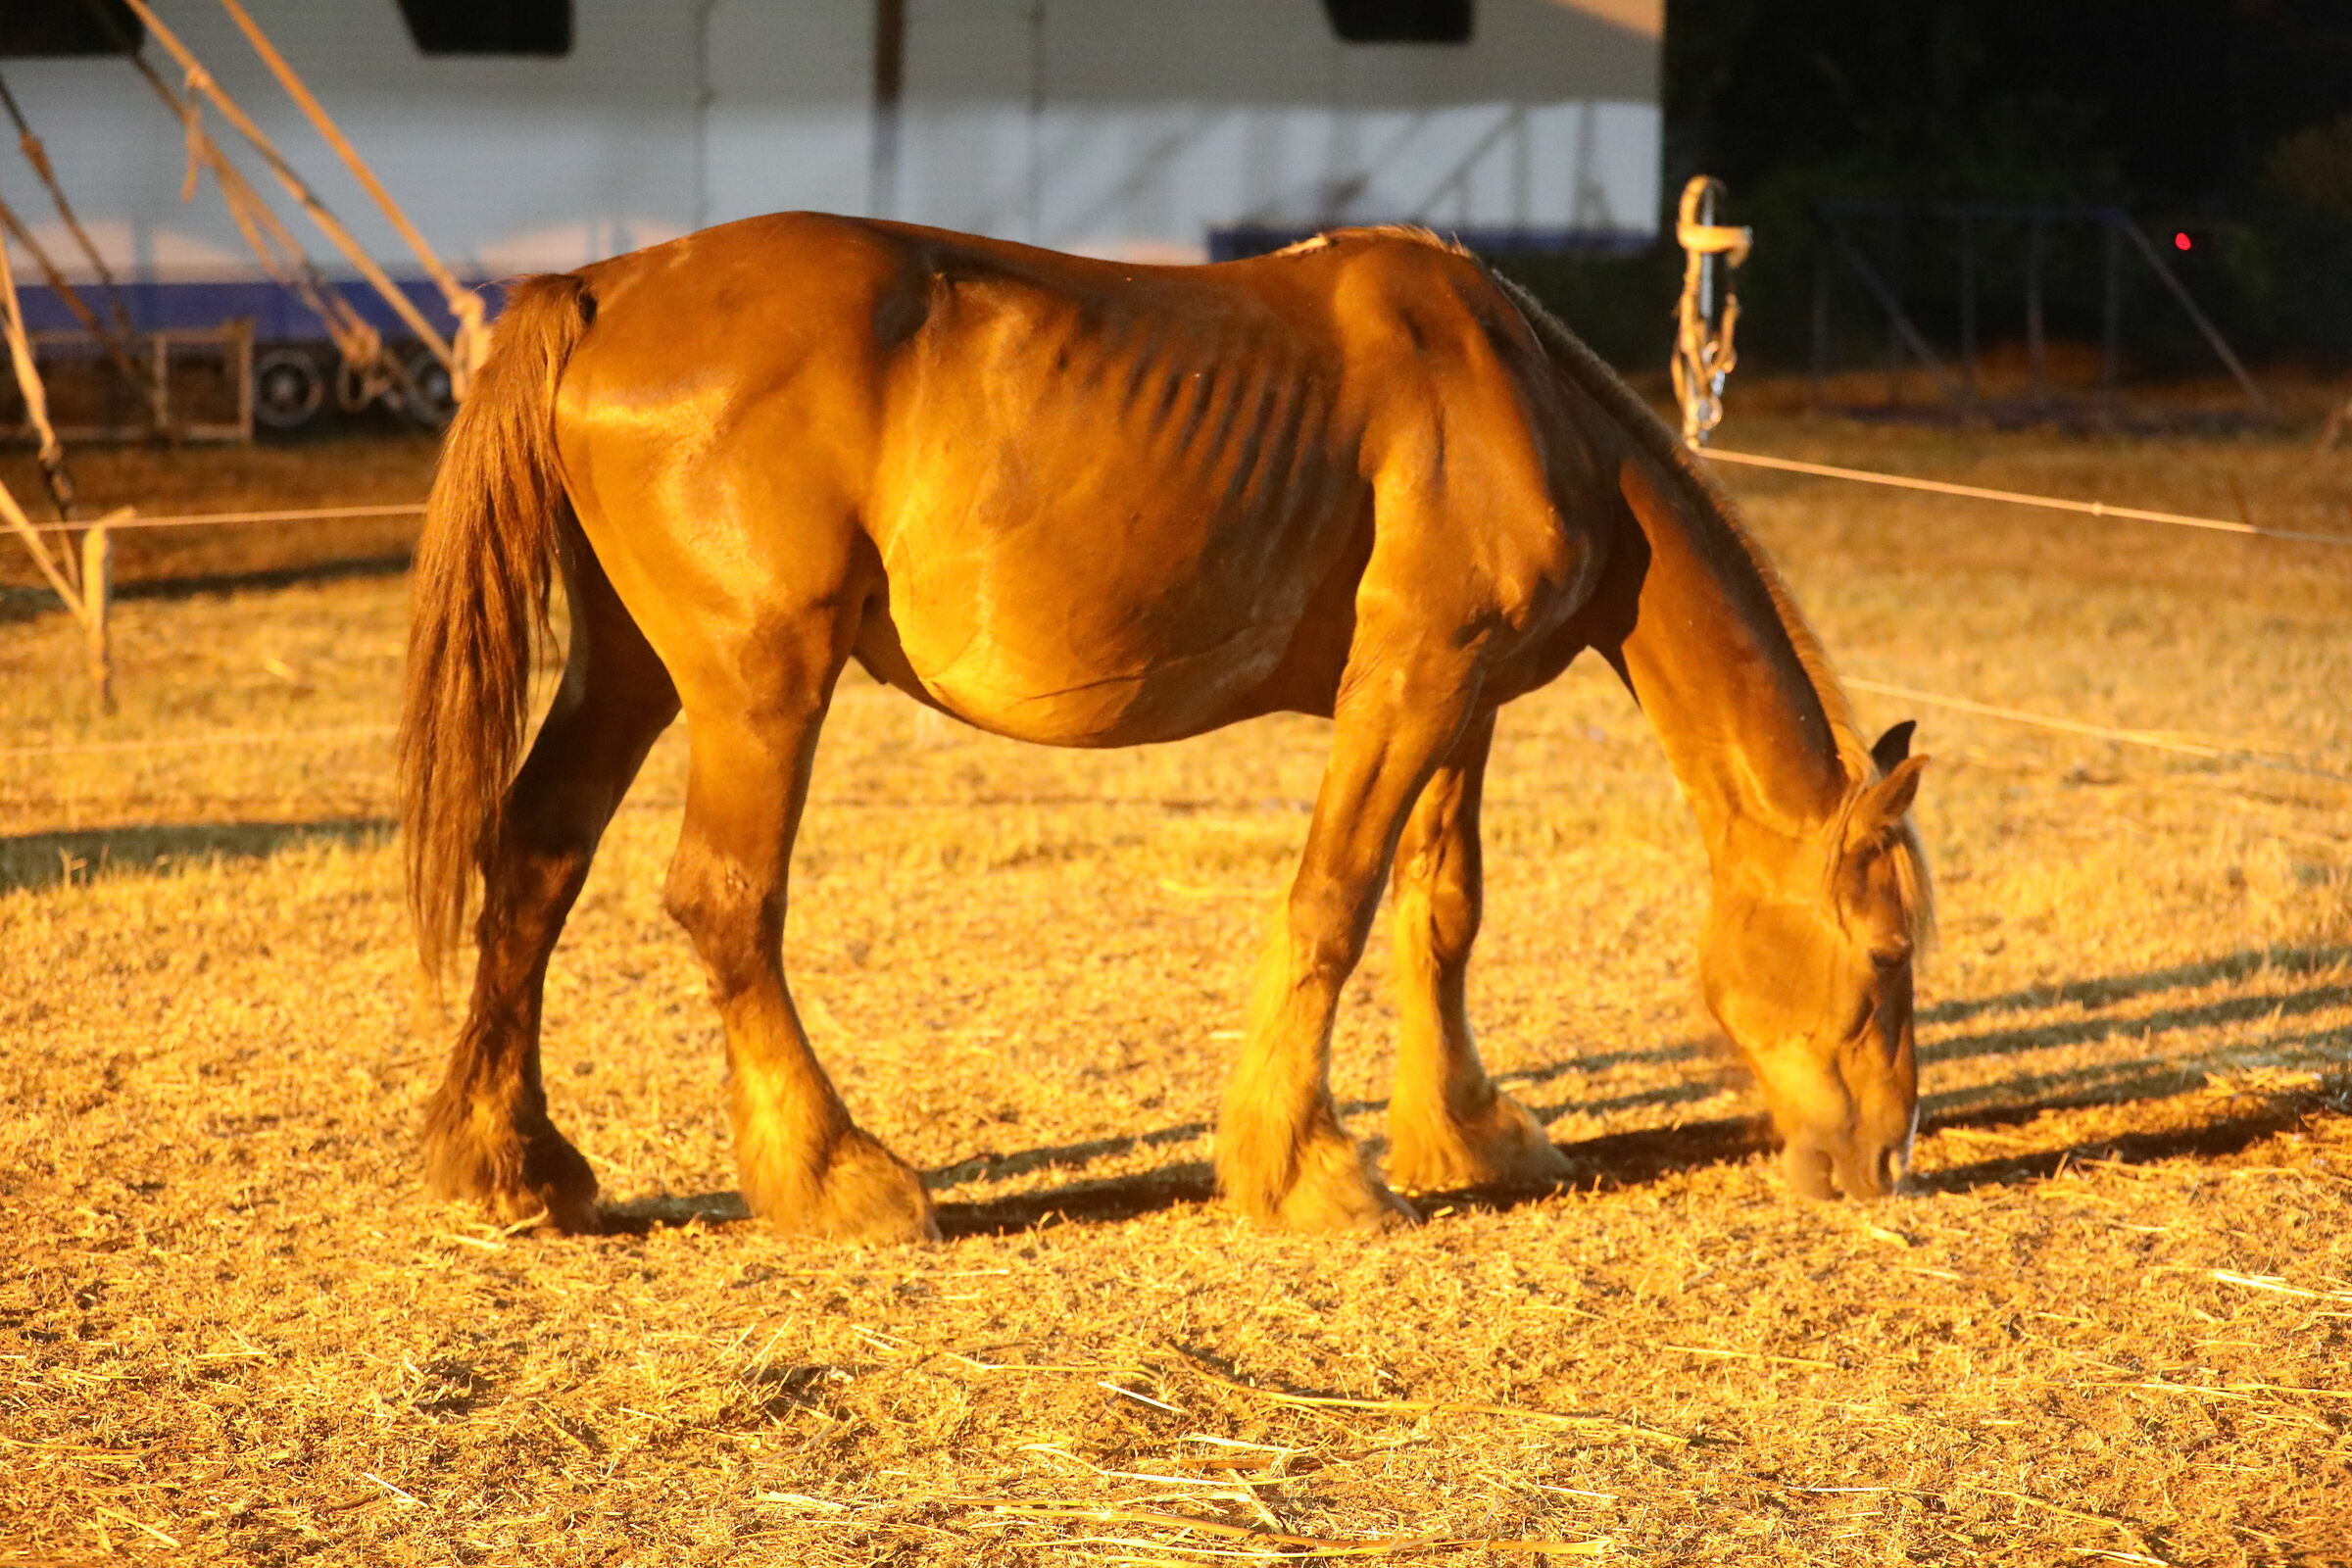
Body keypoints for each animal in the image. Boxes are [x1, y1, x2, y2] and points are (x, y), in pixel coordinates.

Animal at [398, 215, 1932, 1243]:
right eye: (1884, 956)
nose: (1885, 1161)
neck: (1516, 399)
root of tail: (603, 288)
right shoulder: (1409, 681)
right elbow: (1334, 902)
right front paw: (1307, 1167)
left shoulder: (1463, 702)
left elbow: (1443, 909)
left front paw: (1468, 1130)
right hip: (755, 685)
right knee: (726, 901)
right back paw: (838, 1176)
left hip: (631, 673)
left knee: (533, 860)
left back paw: (514, 1165)